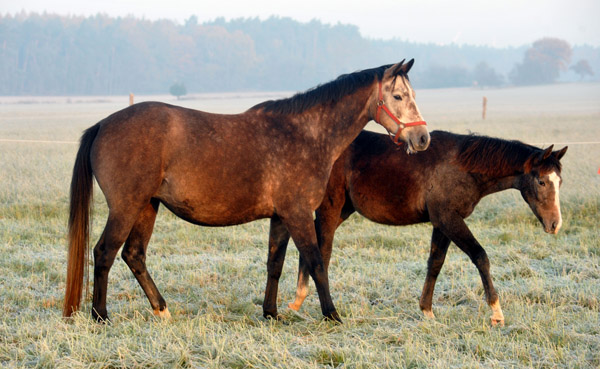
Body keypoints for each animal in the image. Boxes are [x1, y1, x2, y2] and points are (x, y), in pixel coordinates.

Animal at [62, 59, 432, 320]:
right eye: (398, 96)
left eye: (413, 96)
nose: (422, 138)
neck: (305, 134)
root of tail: (102, 125)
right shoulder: (299, 214)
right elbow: (316, 262)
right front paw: (333, 315)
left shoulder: (281, 217)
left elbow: (275, 264)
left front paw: (271, 313)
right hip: (126, 207)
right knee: (105, 253)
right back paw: (100, 316)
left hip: (146, 206)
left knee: (134, 255)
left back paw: (162, 310)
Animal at [272, 130, 568, 324]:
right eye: (541, 181)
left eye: (560, 181)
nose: (555, 224)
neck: (462, 167)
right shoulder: (450, 219)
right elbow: (480, 257)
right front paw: (496, 312)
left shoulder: (443, 223)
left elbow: (435, 263)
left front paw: (426, 310)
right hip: (330, 210)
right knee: (319, 251)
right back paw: (311, 304)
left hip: (342, 210)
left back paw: (298, 300)